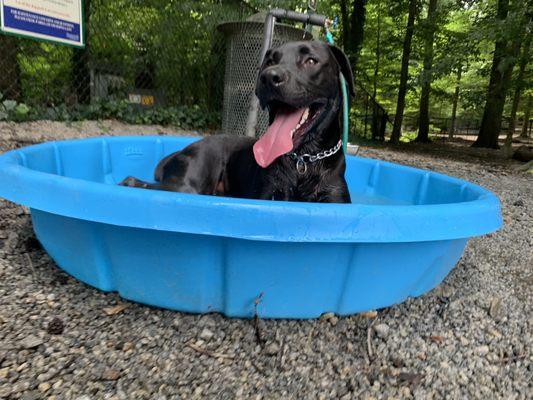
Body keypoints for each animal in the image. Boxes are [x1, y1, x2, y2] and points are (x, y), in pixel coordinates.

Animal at [120, 40, 354, 203]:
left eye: (311, 61)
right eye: (271, 61)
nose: (269, 77)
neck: (303, 161)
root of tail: (180, 151)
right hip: (189, 184)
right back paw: (130, 182)